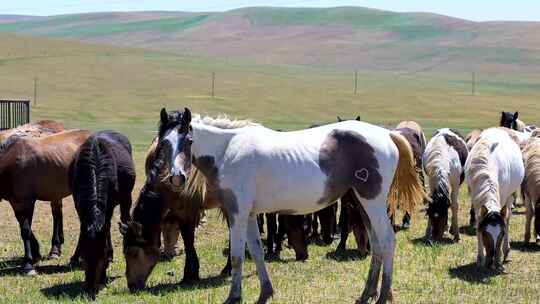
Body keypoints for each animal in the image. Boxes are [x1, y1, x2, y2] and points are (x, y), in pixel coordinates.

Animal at [0, 129, 90, 274]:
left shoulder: (27, 201)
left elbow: (25, 230)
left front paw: (28, 265)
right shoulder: (16, 203)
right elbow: (24, 228)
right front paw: (35, 254)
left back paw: (76, 258)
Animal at [68, 130, 135, 296]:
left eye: (102, 256)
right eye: (85, 255)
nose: (90, 288)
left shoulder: (109, 205)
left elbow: (107, 228)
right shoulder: (78, 203)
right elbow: (82, 231)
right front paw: (75, 257)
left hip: (126, 198)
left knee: (123, 217)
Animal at [130, 108, 426, 302]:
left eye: (188, 140)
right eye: (163, 144)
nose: (177, 178)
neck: (228, 150)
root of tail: (387, 135)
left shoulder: (237, 213)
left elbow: (237, 256)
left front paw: (233, 297)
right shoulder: (249, 215)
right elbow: (256, 252)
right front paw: (265, 292)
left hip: (372, 202)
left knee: (387, 241)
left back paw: (383, 295)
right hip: (362, 204)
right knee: (376, 244)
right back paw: (367, 294)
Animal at [464, 127, 524, 270]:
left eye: (501, 234)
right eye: (485, 233)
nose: (492, 261)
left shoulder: (502, 197)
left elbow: (504, 220)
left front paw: (499, 257)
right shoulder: (475, 198)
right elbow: (478, 222)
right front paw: (480, 258)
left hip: (509, 196)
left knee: (507, 218)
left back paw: (506, 250)